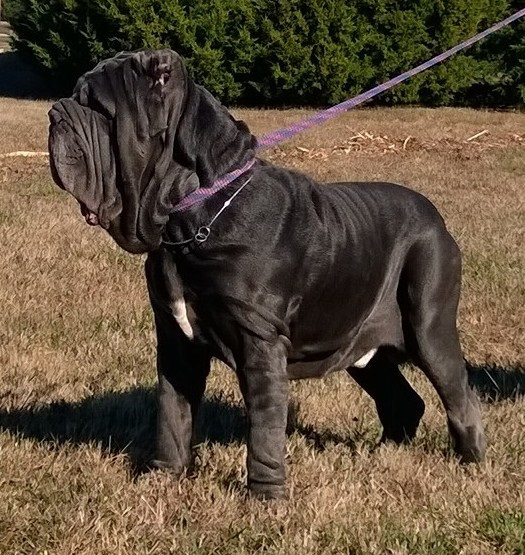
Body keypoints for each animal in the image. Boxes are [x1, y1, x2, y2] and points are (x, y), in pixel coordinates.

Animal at [47, 48, 486, 500]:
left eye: (99, 108)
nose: (55, 113)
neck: (193, 216)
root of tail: (437, 218)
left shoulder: (260, 341)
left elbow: (264, 424)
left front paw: (265, 497)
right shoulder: (175, 343)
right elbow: (172, 411)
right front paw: (163, 478)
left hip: (428, 326)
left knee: (459, 393)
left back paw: (470, 465)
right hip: (362, 345)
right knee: (401, 399)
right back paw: (383, 455)